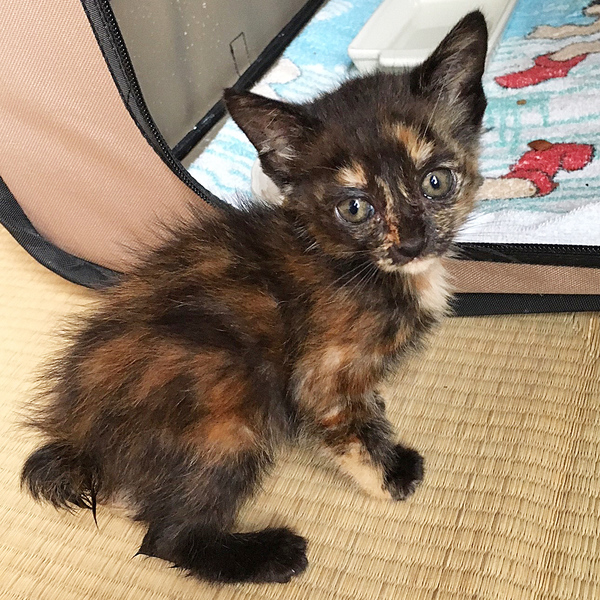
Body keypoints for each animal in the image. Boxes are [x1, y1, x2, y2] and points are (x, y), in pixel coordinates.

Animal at [21, 11, 488, 585]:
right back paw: (269, 554)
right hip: (227, 399)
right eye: (355, 208)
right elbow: (352, 428)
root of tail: (79, 438)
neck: (351, 262)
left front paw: (380, 408)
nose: (413, 242)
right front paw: (390, 476)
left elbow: (366, 404)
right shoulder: (320, 375)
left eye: (436, 181)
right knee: (167, 538)